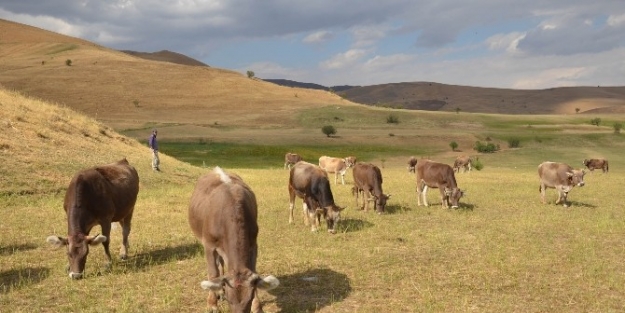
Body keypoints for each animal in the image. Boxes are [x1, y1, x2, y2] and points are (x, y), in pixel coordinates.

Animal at [188, 167, 280, 310]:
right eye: (229, 300)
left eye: (250, 298)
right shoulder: (209, 245)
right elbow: (213, 273)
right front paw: (212, 304)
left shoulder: (253, 244)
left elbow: (254, 271)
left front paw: (257, 307)